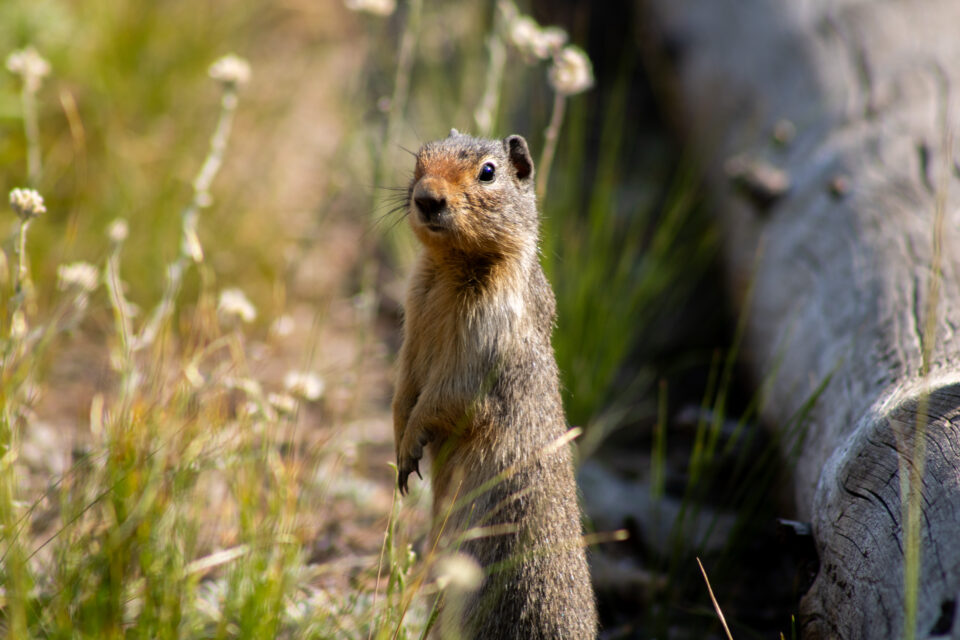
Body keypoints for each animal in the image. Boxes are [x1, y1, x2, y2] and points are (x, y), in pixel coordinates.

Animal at [392, 127, 600, 636]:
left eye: (488, 172)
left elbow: (451, 395)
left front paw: (411, 445)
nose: (426, 198)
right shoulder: (413, 324)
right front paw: (398, 442)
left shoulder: (485, 338)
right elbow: (404, 385)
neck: (450, 268)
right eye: (420, 159)